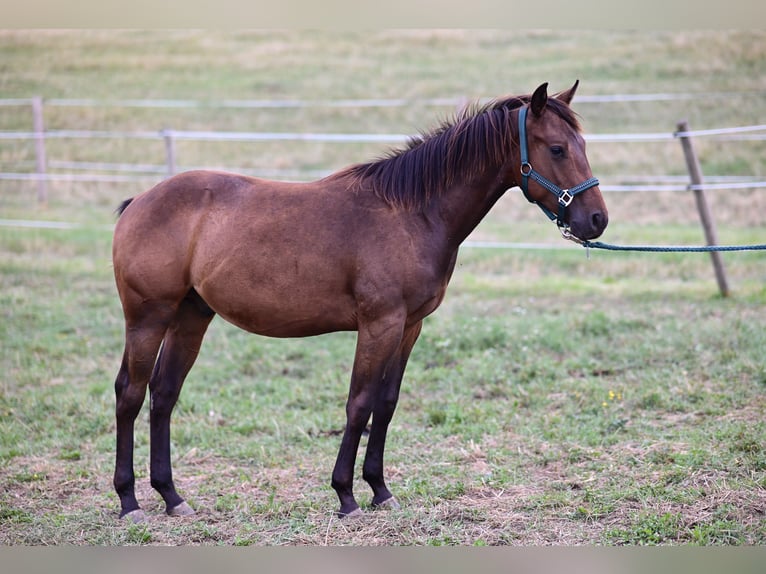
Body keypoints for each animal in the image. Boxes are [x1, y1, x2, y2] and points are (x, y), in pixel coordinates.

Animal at [111, 81, 608, 523]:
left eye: (582, 144)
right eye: (557, 149)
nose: (597, 220)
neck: (412, 213)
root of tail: (140, 201)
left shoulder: (409, 327)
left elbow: (385, 404)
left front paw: (380, 491)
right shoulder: (378, 324)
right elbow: (359, 402)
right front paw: (346, 496)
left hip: (191, 316)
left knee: (164, 393)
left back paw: (172, 496)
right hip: (147, 319)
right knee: (130, 393)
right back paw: (129, 501)